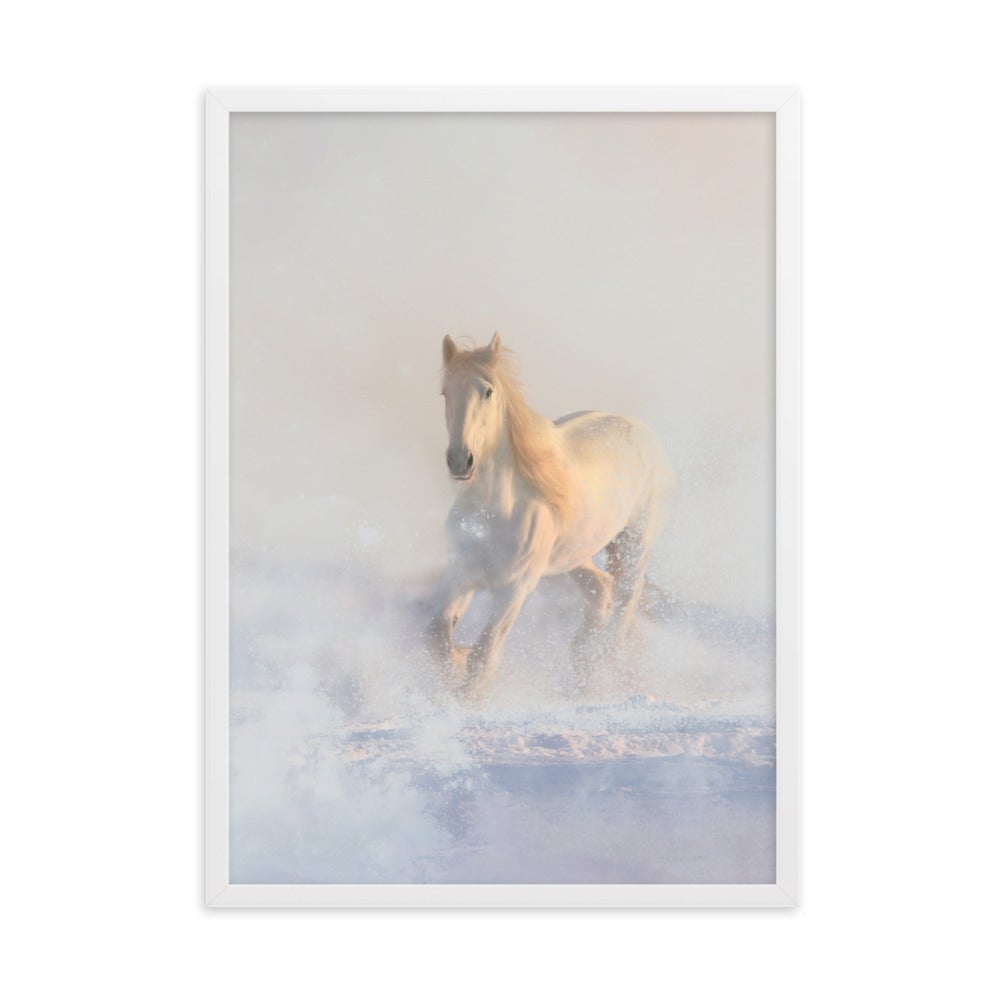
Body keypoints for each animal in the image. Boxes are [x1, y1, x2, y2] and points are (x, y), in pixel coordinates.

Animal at [427, 332, 675, 699]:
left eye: (488, 391)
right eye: (446, 393)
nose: (461, 460)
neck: (493, 514)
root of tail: (644, 433)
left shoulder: (516, 588)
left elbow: (484, 656)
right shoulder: (461, 574)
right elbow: (438, 638)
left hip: (635, 545)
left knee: (623, 608)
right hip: (574, 556)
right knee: (602, 590)